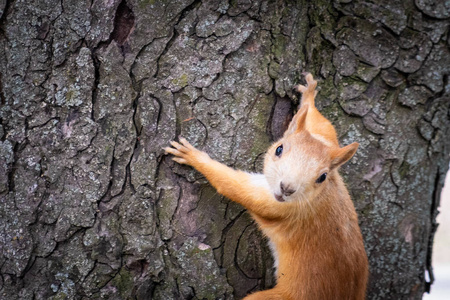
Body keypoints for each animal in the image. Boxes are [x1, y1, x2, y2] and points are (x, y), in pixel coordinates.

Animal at [165, 72, 370, 300]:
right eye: (279, 149)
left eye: (322, 177)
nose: (286, 188)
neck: (322, 195)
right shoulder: (328, 142)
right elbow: (323, 125)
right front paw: (309, 94)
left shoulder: (279, 206)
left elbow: (236, 188)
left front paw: (194, 157)